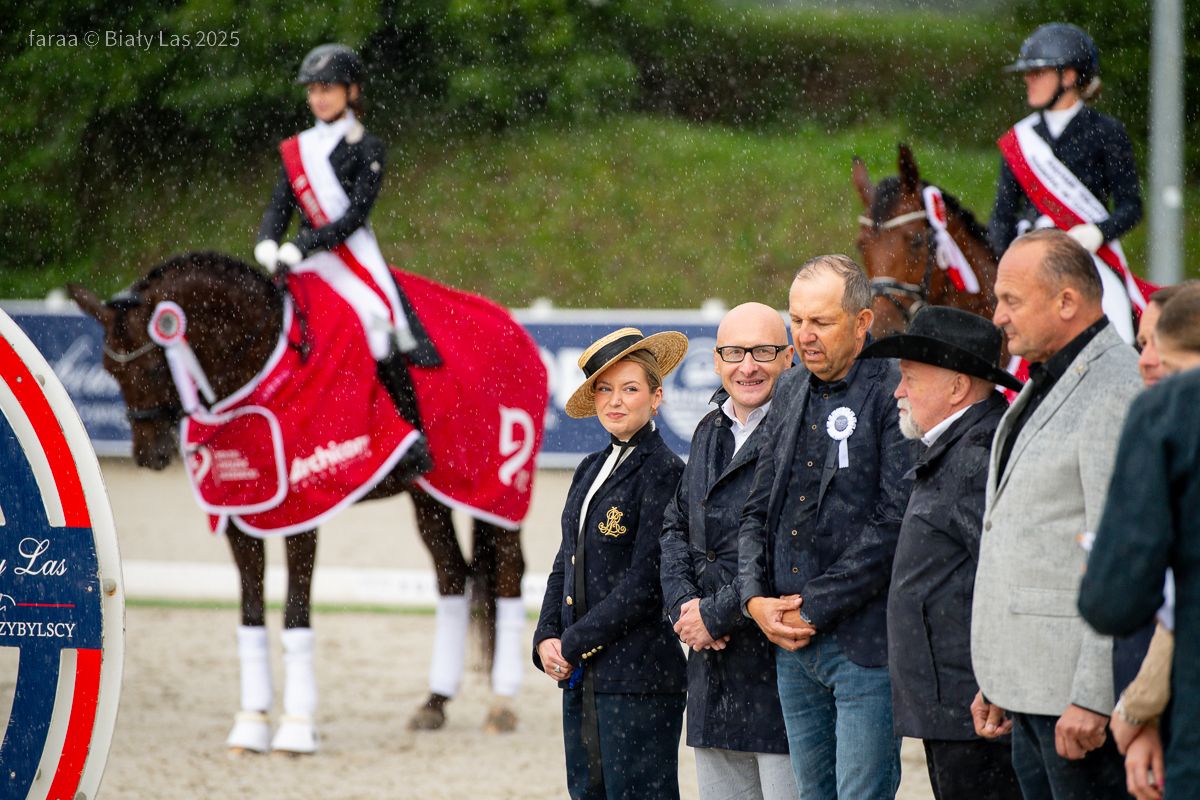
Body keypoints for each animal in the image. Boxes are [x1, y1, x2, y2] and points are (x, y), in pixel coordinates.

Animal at [68, 251, 546, 753]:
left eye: (155, 369)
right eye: (110, 372)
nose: (149, 455)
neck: (263, 373)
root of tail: (511, 326)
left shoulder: (302, 513)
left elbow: (295, 613)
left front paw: (295, 729)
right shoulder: (239, 517)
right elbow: (251, 613)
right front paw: (251, 724)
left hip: (498, 487)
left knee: (508, 574)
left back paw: (502, 704)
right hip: (429, 496)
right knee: (452, 573)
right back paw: (434, 703)